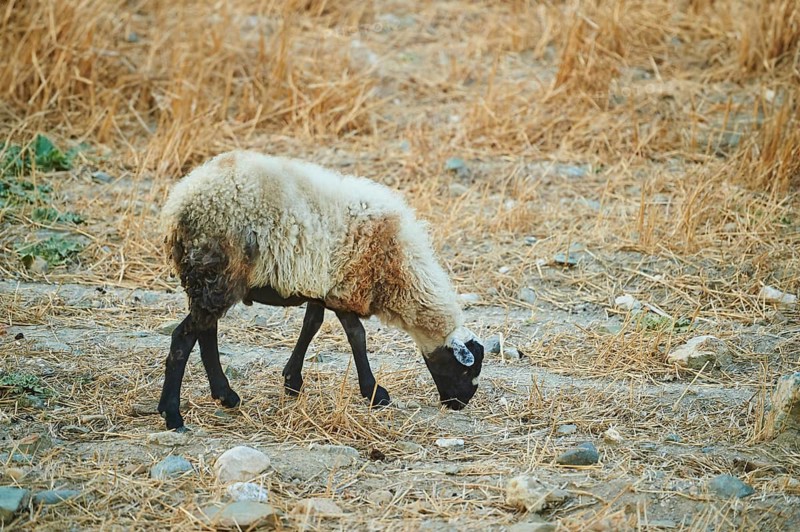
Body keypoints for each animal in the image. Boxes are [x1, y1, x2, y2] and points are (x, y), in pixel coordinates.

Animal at [157, 150, 484, 431]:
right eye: (468, 370)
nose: (461, 403)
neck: (401, 270)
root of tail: (180, 204)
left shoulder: (322, 286)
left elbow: (311, 325)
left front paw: (292, 381)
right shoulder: (345, 288)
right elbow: (357, 337)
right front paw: (374, 393)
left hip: (210, 281)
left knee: (205, 333)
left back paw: (225, 396)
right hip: (217, 276)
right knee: (183, 339)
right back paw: (173, 415)